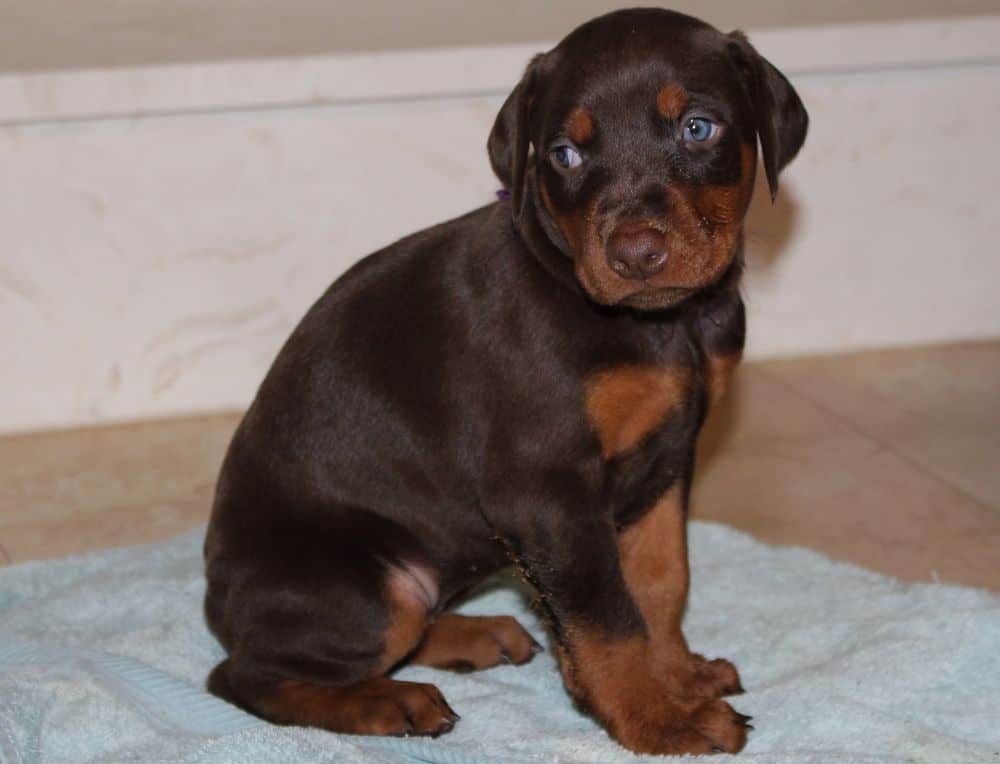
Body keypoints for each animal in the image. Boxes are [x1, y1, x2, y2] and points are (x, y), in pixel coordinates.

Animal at [203, 7, 804, 760]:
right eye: (564, 155)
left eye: (698, 127)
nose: (635, 254)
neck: (660, 326)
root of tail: (215, 600)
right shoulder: (546, 489)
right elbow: (608, 616)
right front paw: (657, 720)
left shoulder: (669, 458)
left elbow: (662, 581)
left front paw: (679, 675)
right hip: (375, 588)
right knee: (246, 676)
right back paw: (388, 701)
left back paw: (475, 634)